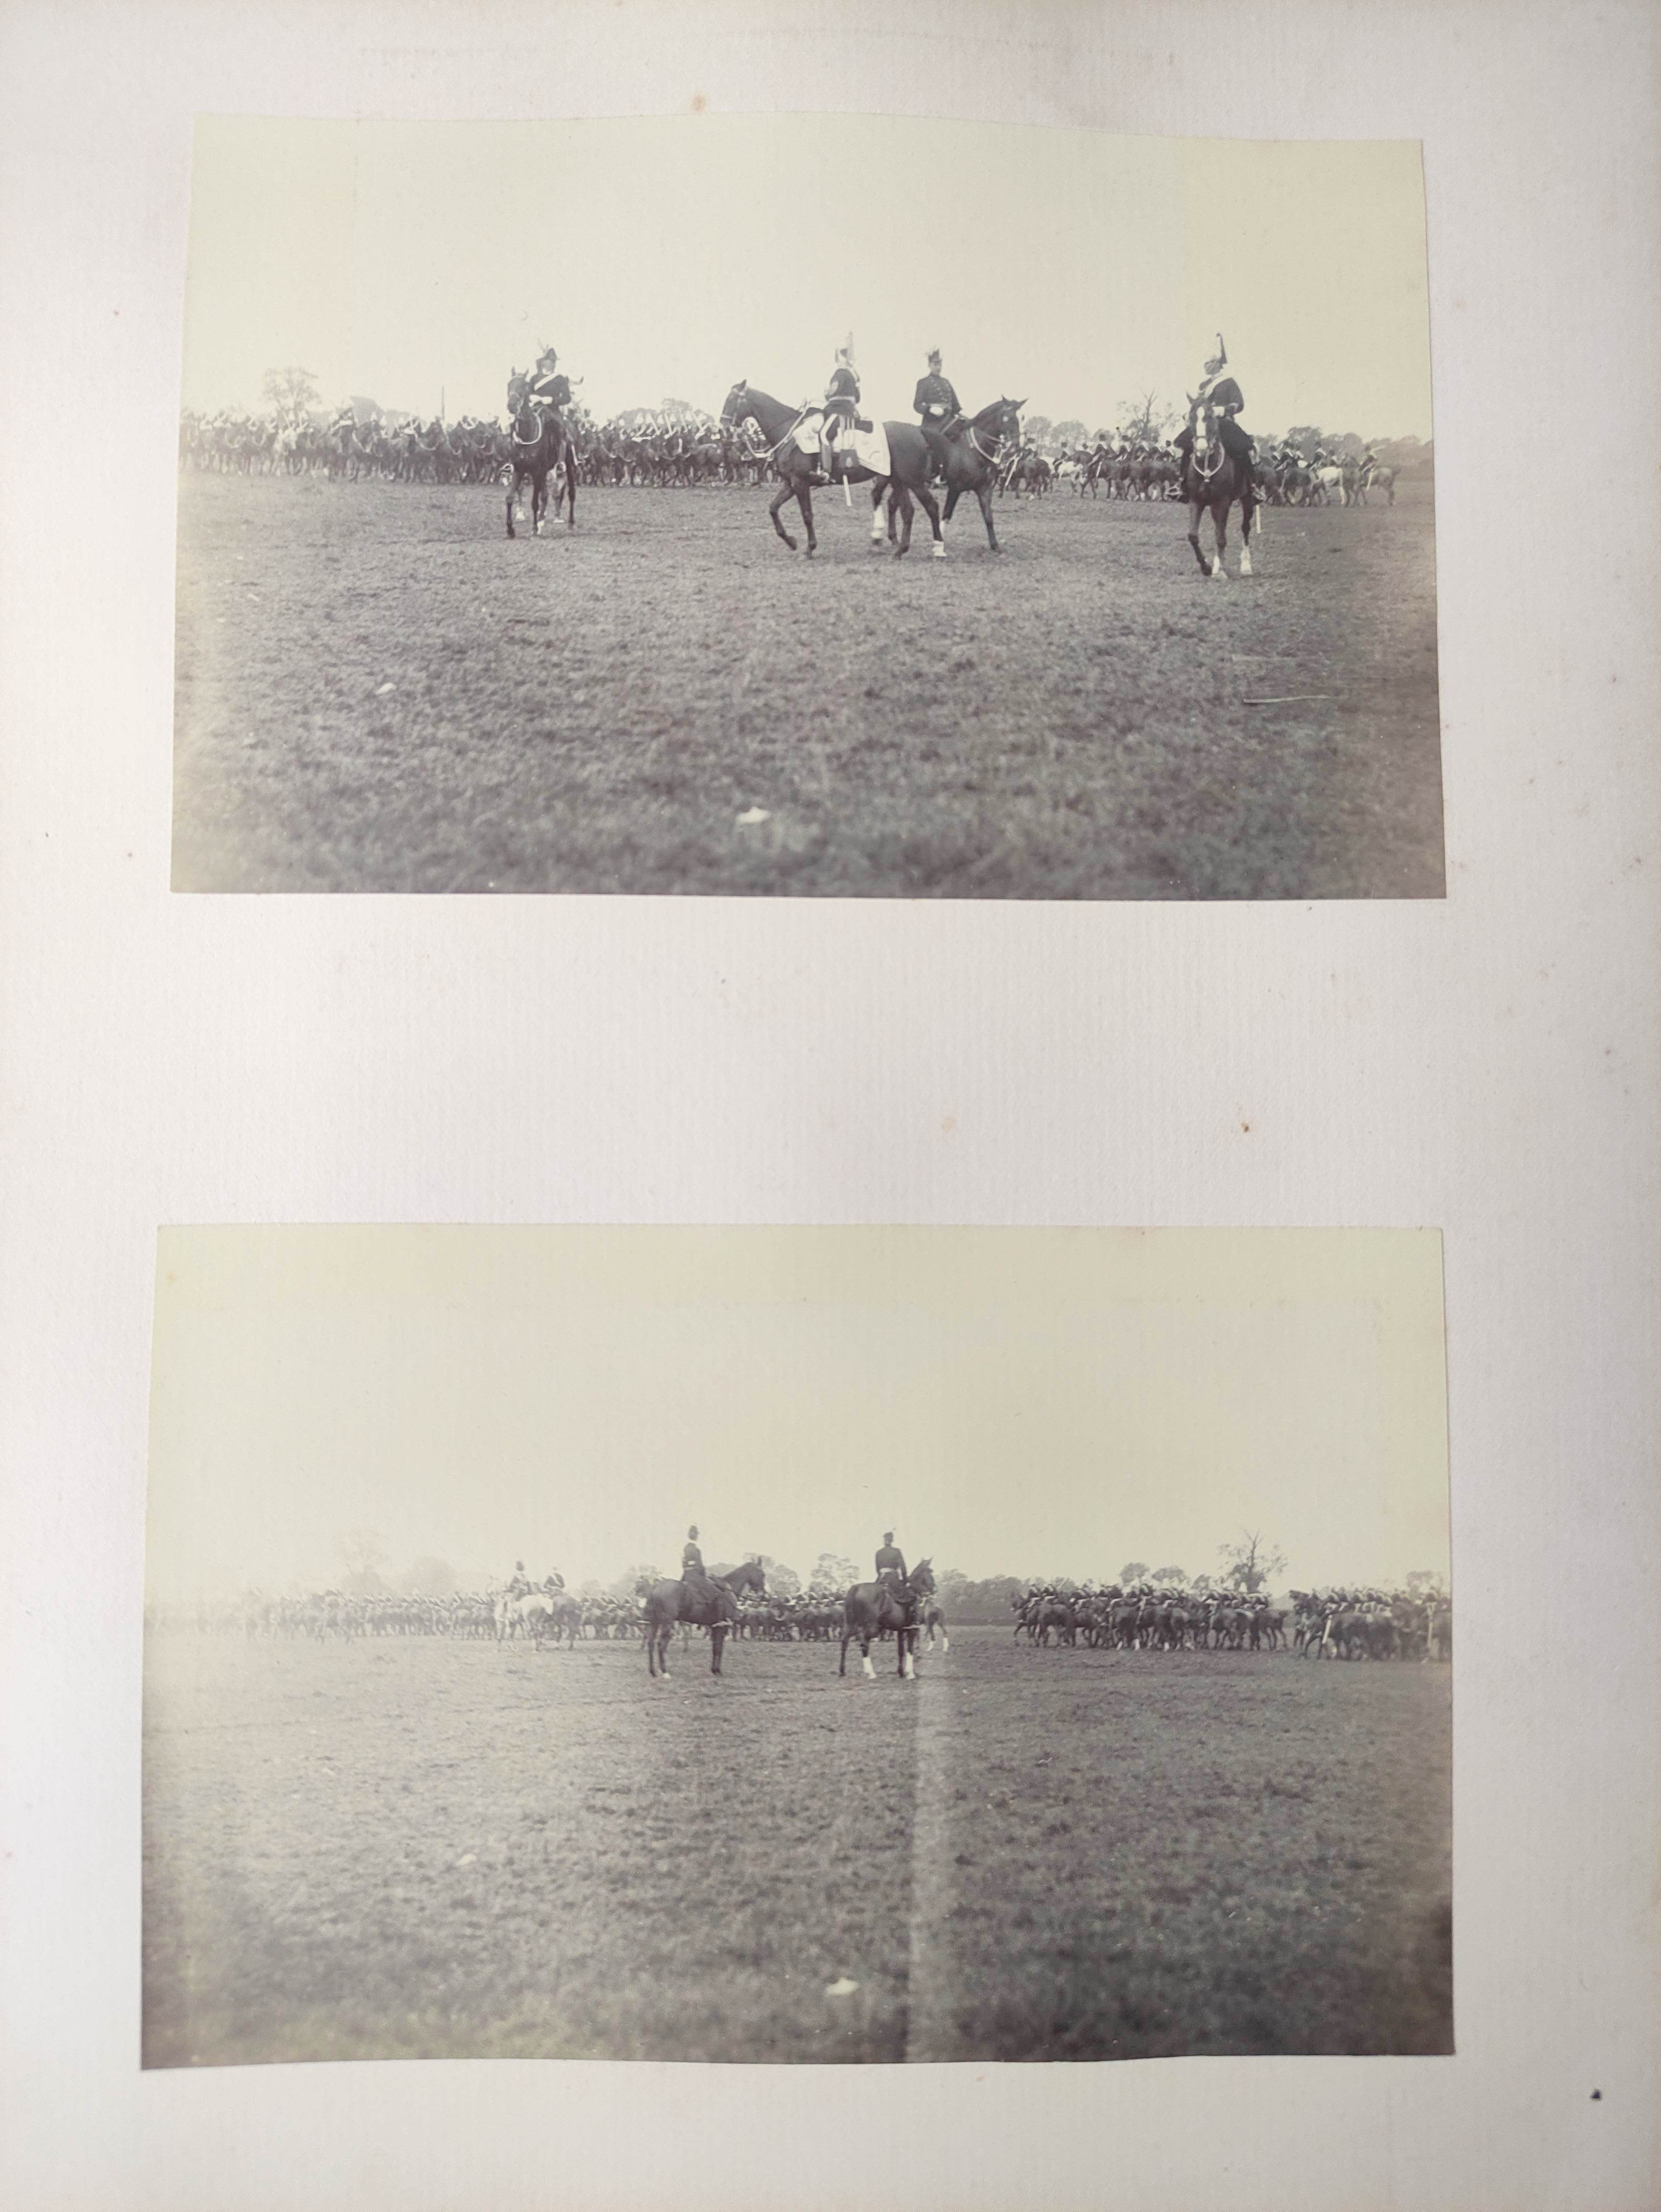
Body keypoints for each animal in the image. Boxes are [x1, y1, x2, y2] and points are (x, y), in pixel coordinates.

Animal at [641, 1575, 739, 1672]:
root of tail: (656, 1588)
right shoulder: (721, 1628)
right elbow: (718, 1649)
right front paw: (717, 1670)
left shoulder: (716, 1628)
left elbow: (716, 1648)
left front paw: (715, 1669)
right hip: (667, 1624)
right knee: (661, 1645)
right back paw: (664, 1671)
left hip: (654, 1623)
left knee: (651, 1643)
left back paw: (653, 1671)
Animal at [716, 380, 946, 557]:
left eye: (731, 400)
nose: (723, 429)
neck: (789, 431)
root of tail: (918, 431)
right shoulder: (790, 484)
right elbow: (773, 509)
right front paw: (792, 541)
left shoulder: (800, 483)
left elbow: (807, 515)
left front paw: (810, 549)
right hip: (899, 481)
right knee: (907, 511)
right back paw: (900, 550)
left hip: (913, 481)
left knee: (931, 507)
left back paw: (938, 548)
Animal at [845, 1557, 938, 1672]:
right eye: (930, 1572)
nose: (935, 1589)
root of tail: (856, 1589)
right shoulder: (911, 1628)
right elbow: (910, 1648)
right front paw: (910, 1669)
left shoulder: (901, 1630)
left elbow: (901, 1651)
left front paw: (901, 1670)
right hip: (871, 1628)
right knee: (864, 1644)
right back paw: (871, 1672)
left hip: (852, 1625)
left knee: (845, 1642)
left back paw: (843, 1671)